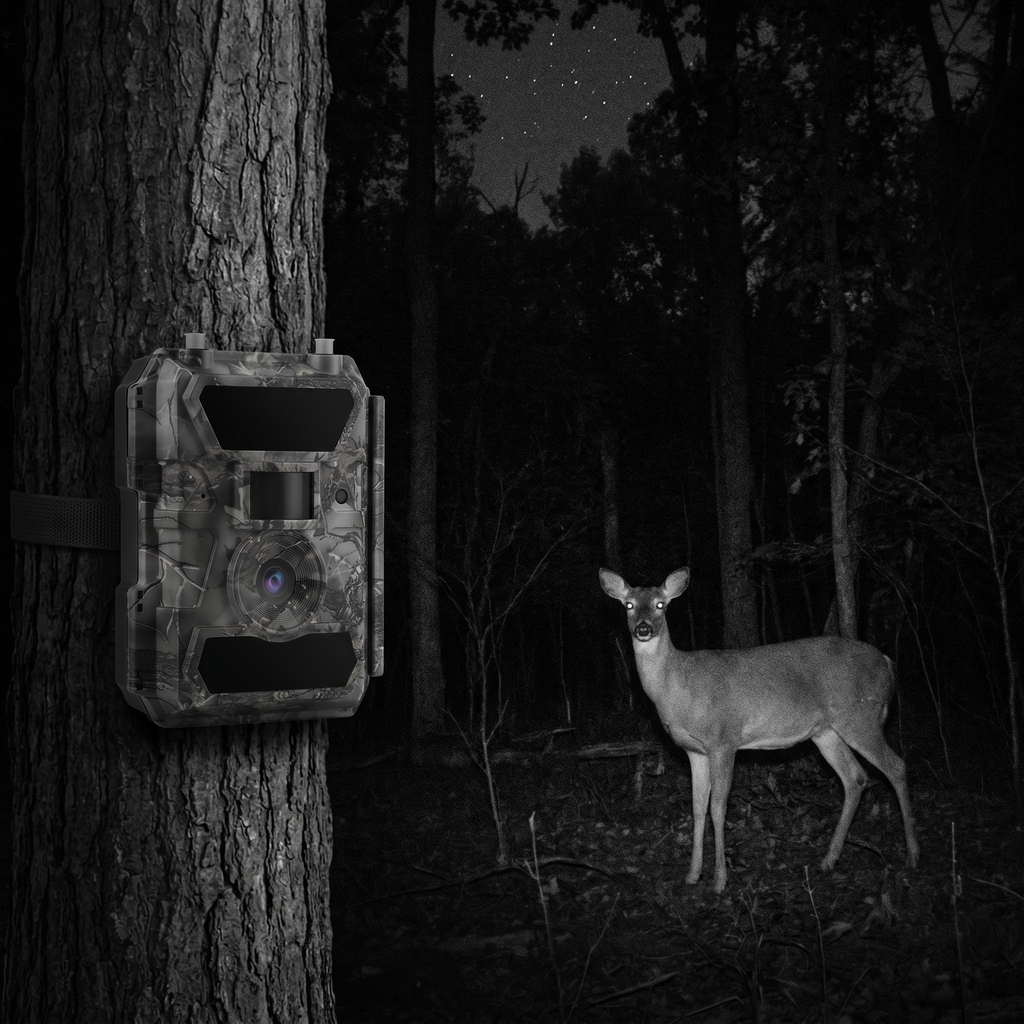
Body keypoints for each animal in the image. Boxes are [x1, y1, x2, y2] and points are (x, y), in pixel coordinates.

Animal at [600, 567, 920, 893]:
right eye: (629, 605)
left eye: (661, 604)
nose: (643, 628)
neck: (677, 688)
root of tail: (887, 663)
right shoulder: (694, 750)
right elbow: (697, 807)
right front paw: (692, 874)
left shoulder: (723, 739)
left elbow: (718, 807)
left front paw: (719, 880)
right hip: (826, 731)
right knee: (855, 777)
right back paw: (829, 860)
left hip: (860, 715)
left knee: (895, 765)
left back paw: (913, 855)